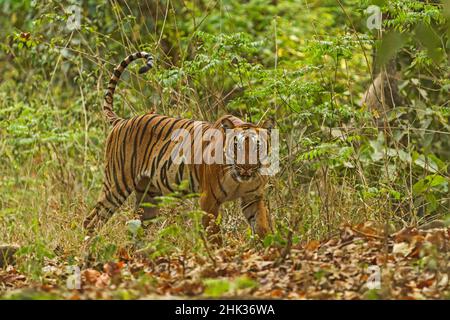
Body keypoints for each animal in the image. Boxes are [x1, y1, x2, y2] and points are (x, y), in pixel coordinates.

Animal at [84, 51, 274, 244]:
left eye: (257, 147)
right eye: (236, 146)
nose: (246, 168)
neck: (239, 179)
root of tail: (122, 121)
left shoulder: (253, 198)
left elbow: (261, 227)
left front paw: (268, 246)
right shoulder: (209, 199)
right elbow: (214, 235)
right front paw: (220, 251)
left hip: (148, 196)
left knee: (135, 226)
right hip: (117, 183)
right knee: (91, 220)